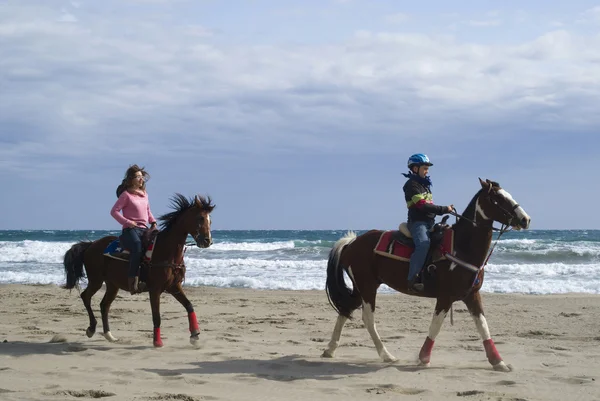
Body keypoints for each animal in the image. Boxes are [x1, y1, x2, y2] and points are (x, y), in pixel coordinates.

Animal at [61, 194, 214, 346]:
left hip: (112, 285)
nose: (208, 241)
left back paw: (109, 335)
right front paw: (157, 342)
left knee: (104, 305)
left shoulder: (174, 286)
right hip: (96, 280)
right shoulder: (155, 289)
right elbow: (157, 317)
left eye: (210, 220)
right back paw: (91, 328)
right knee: (85, 296)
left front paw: (194, 334)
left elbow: (189, 305)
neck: (165, 251)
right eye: (200, 218)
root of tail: (91, 245)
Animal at [324, 177, 528, 370]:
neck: (461, 247)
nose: (526, 219)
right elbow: (435, 326)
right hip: (367, 287)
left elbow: (483, 326)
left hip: (362, 287)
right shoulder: (445, 296)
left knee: (345, 309)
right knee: (367, 319)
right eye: (497, 198)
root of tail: (352, 242)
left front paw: (499, 362)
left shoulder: (472, 295)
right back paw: (386, 355)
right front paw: (423, 358)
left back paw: (330, 349)